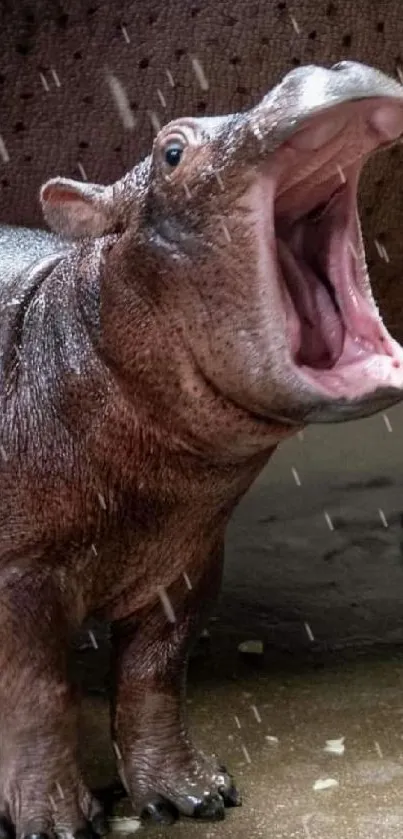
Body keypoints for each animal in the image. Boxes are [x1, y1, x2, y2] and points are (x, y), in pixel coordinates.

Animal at [0, 60, 403, 832]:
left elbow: (155, 674)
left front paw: (194, 795)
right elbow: (38, 693)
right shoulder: (18, 574)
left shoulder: (188, 557)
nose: (325, 67)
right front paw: (58, 823)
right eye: (171, 150)